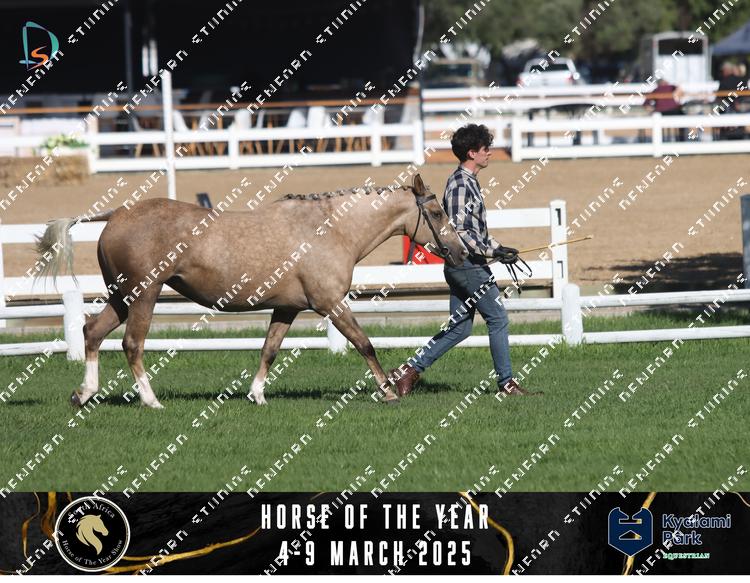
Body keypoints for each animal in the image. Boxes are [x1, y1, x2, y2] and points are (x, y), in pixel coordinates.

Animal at [36, 174, 467, 408]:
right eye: (437, 212)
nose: (462, 251)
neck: (329, 229)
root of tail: (118, 214)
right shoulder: (331, 304)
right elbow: (365, 344)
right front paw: (389, 391)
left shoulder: (287, 309)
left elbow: (269, 350)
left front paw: (257, 394)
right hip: (144, 295)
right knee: (132, 345)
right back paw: (151, 400)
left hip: (122, 297)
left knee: (92, 332)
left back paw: (84, 394)